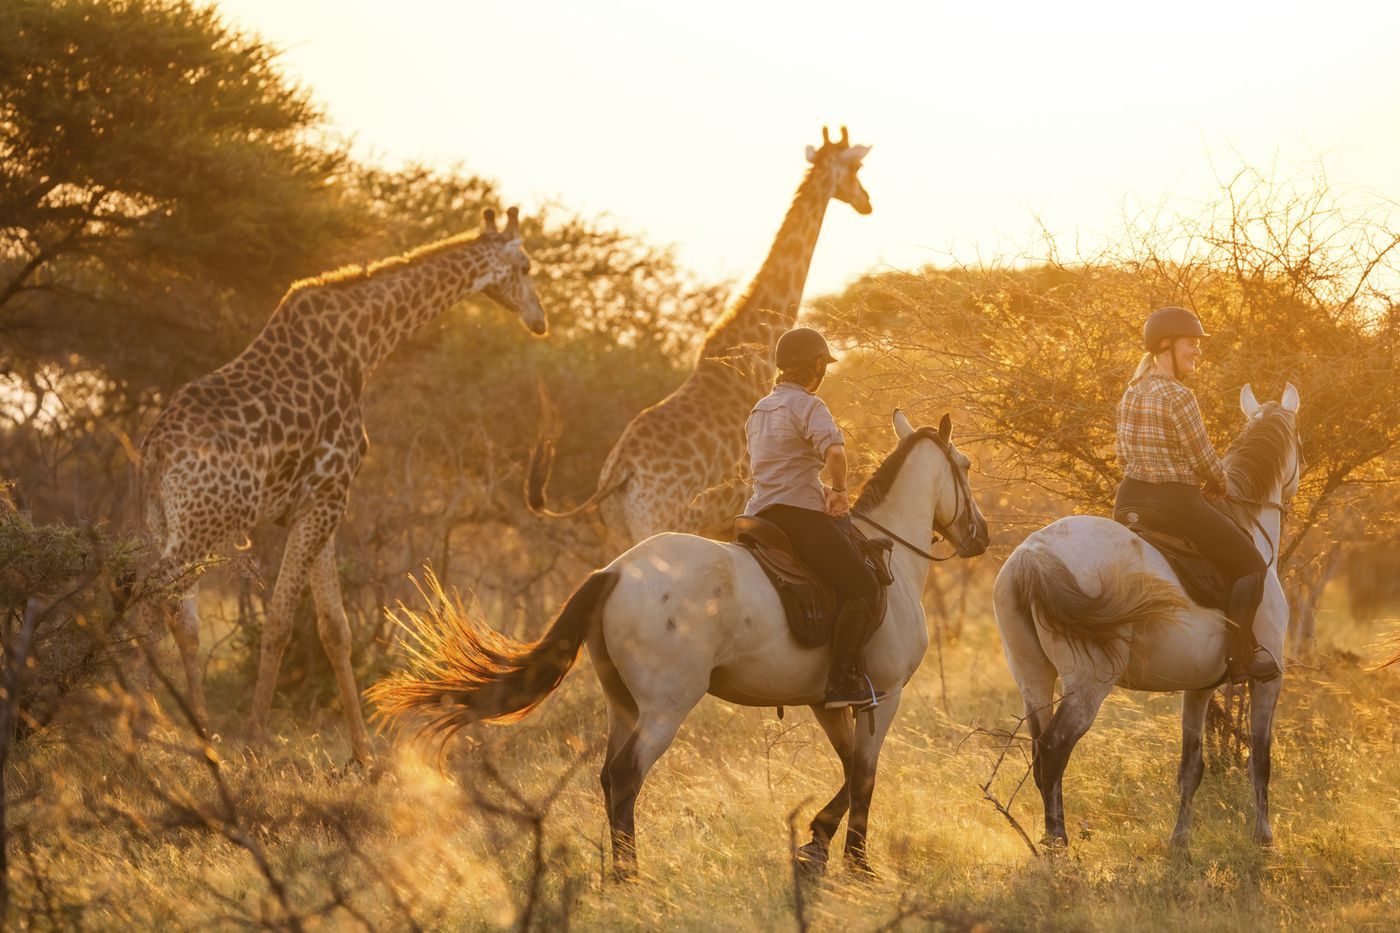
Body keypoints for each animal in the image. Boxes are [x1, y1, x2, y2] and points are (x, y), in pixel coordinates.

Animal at [139, 207, 546, 762]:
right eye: (525, 266)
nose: (540, 320)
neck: (363, 345)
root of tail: (156, 450)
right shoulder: (326, 498)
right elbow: (281, 622)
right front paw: (256, 741)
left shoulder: (320, 505)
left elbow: (335, 628)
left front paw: (363, 755)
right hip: (204, 525)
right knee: (152, 596)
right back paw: (145, 728)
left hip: (165, 522)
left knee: (177, 614)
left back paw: (191, 734)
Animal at [366, 406, 991, 874]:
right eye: (964, 464)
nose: (980, 536)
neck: (888, 557)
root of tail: (615, 571)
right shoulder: (884, 696)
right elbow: (864, 773)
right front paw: (854, 862)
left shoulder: (830, 702)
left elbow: (849, 769)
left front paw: (819, 846)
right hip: (666, 708)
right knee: (626, 777)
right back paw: (629, 877)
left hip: (623, 704)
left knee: (608, 777)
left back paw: (617, 871)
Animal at [526, 127, 868, 549]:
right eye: (856, 168)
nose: (867, 202)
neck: (758, 343)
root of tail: (618, 474)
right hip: (659, 524)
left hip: (618, 533)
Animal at [996, 381, 1299, 846]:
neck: (1249, 524)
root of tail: (1034, 552)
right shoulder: (1269, 681)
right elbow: (1260, 760)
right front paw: (1264, 838)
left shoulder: (1200, 687)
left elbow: (1191, 766)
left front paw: (1180, 841)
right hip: (1088, 682)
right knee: (1054, 749)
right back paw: (1058, 844)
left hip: (1031, 675)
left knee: (1038, 751)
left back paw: (1051, 839)